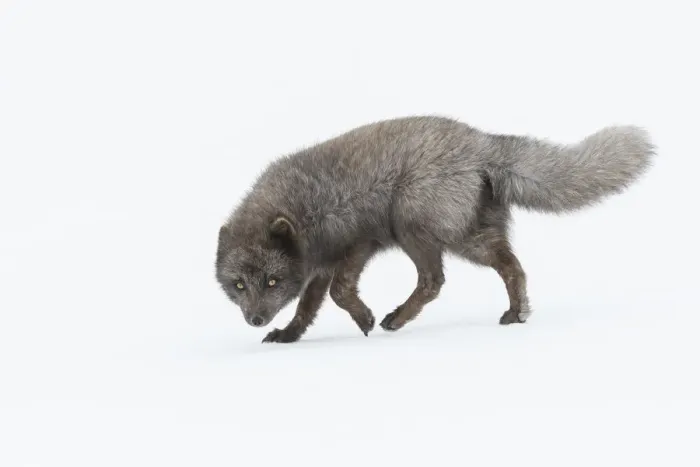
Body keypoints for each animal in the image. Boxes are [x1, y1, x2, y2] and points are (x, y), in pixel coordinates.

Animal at [215, 116, 655, 343]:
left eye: (272, 282)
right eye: (238, 285)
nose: (255, 319)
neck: (305, 205)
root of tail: (482, 141)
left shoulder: (359, 243)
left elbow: (340, 293)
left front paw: (365, 320)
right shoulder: (319, 266)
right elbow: (308, 308)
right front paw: (288, 335)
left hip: (415, 225)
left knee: (435, 279)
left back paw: (396, 320)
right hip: (468, 232)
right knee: (509, 265)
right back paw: (516, 312)